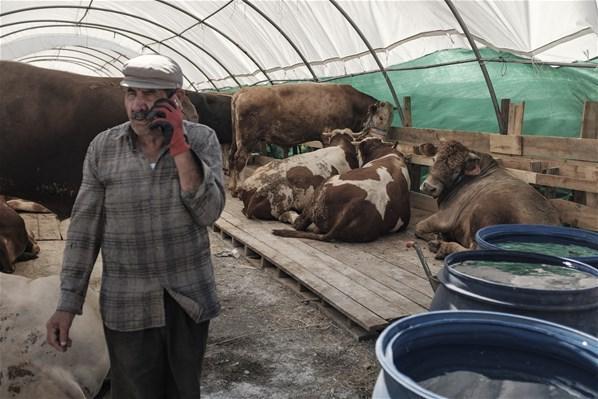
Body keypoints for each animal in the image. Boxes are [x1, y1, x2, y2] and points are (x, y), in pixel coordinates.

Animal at [227, 83, 392, 194]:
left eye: (391, 118)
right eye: (381, 117)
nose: (383, 138)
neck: (351, 103)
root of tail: (243, 91)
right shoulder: (327, 135)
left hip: (236, 139)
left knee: (231, 157)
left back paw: (231, 186)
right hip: (247, 139)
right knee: (240, 159)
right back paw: (238, 188)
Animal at [414, 141, 564, 260]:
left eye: (456, 170)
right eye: (434, 159)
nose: (429, 187)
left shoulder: (447, 216)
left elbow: (419, 226)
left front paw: (434, 237)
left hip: (482, 212)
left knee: (475, 249)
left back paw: (442, 247)